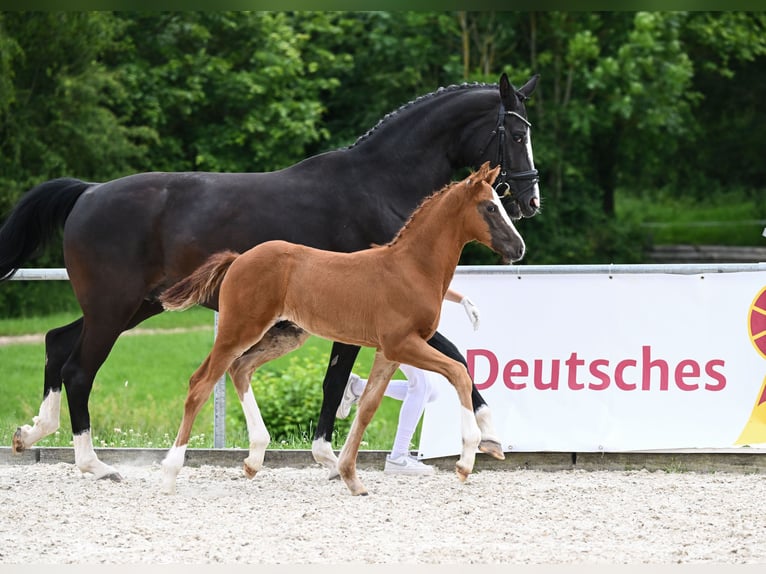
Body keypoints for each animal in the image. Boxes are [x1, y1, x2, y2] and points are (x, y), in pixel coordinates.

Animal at [162, 162, 528, 496]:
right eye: (490, 207)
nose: (519, 247)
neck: (411, 268)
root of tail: (237, 259)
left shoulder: (388, 352)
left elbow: (367, 408)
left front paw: (351, 477)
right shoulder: (402, 344)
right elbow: (459, 372)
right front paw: (468, 459)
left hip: (283, 336)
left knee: (240, 368)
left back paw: (254, 459)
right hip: (238, 329)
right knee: (201, 383)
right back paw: (171, 472)